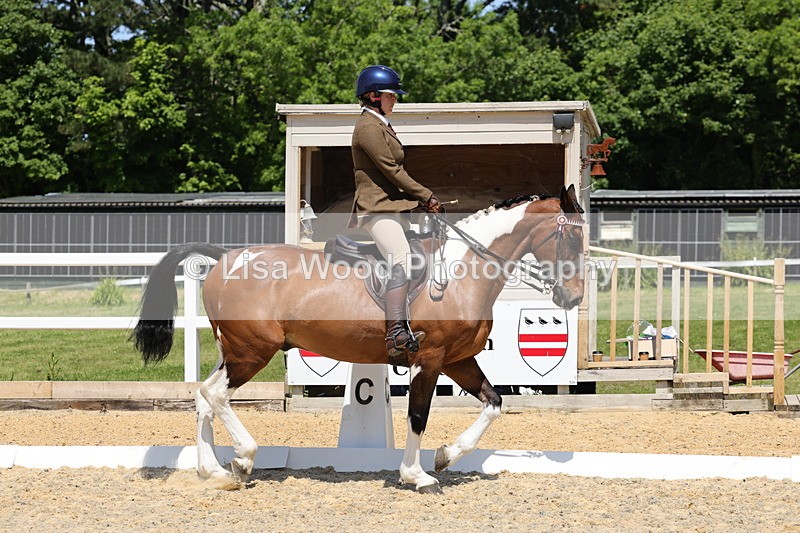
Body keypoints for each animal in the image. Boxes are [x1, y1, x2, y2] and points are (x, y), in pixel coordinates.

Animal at [132, 184, 586, 493]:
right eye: (572, 236)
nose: (574, 297)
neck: (463, 271)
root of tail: (227, 256)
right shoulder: (430, 358)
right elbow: (418, 416)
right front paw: (417, 475)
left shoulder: (458, 360)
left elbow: (494, 403)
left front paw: (445, 455)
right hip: (253, 352)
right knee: (216, 396)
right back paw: (243, 459)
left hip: (235, 351)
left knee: (203, 396)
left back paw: (214, 471)